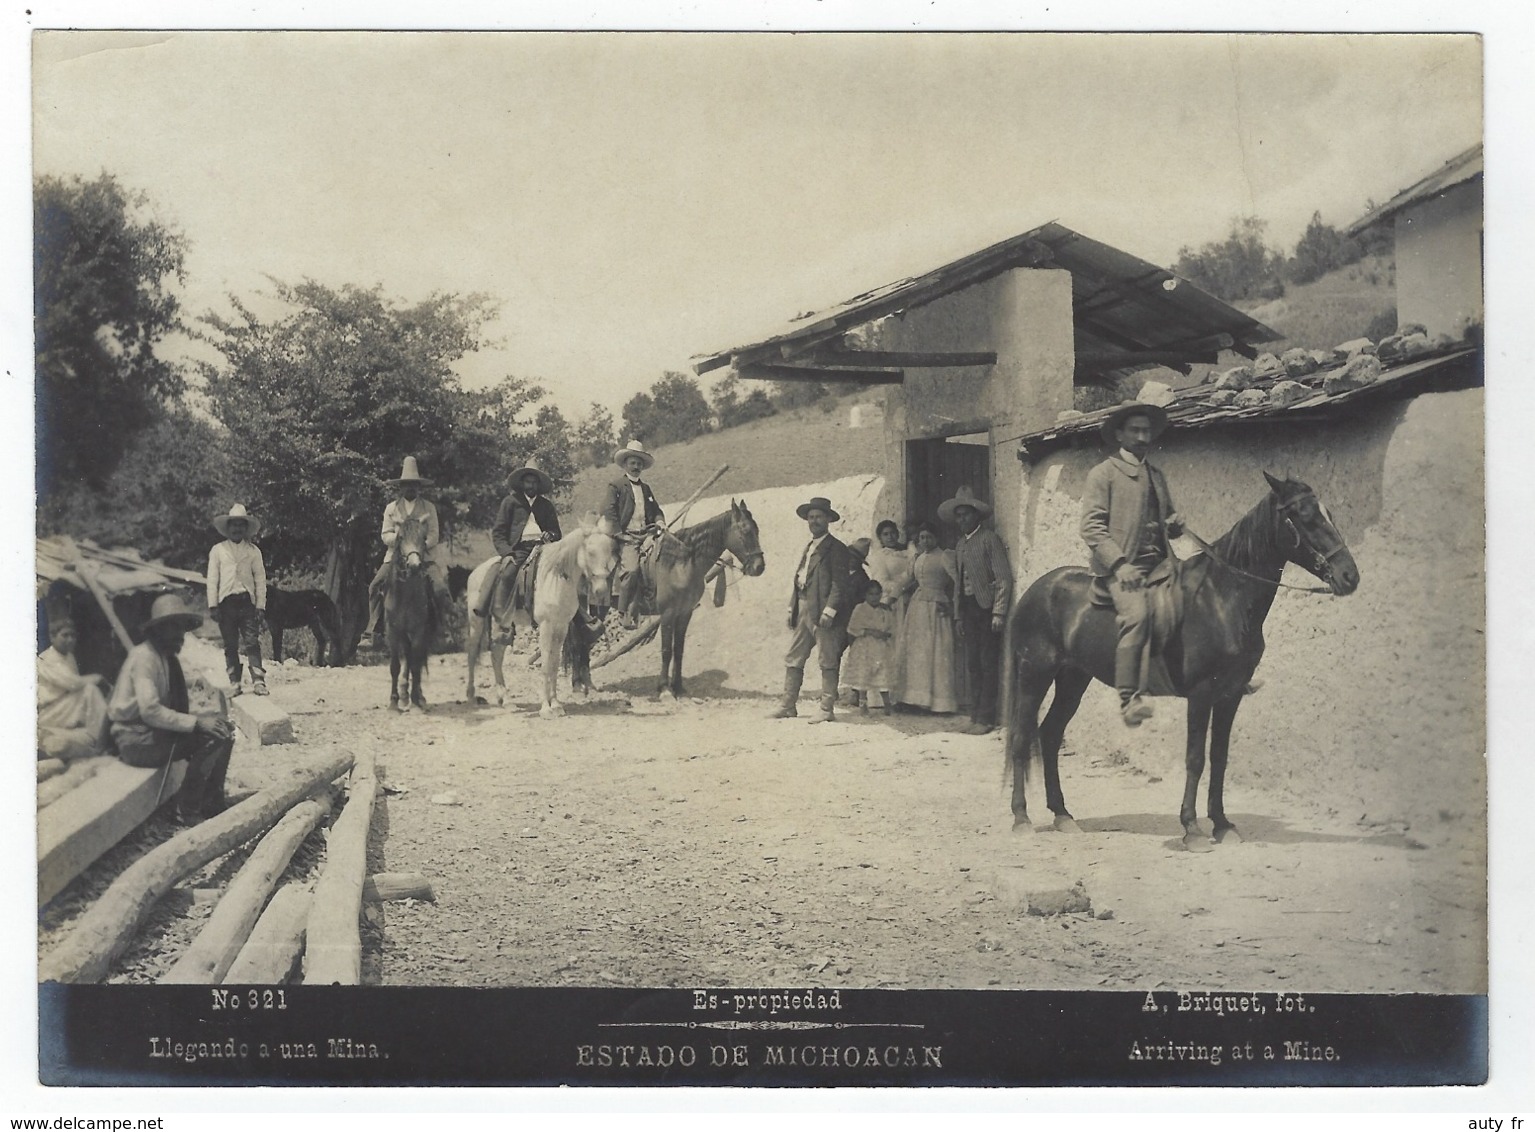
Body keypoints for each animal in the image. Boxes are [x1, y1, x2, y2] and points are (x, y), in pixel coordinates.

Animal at [386, 516, 435, 709]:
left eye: (423, 538)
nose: (414, 566)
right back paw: (404, 694)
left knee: (417, 661)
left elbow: (415, 664)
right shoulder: (393, 631)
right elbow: (395, 666)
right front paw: (394, 701)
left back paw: (416, 695)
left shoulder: (419, 631)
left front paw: (416, 700)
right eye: (400, 538)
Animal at [460, 513, 617, 715]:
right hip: (476, 621)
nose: (601, 590)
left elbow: (554, 664)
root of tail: (476, 572)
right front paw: (546, 708)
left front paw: (556, 704)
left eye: (609, 550)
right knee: (472, 654)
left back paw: (506, 700)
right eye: (590, 552)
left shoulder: (561, 626)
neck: (556, 576)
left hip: (504, 623)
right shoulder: (546, 625)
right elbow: (545, 665)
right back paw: (471, 696)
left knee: (496, 654)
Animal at [647, 500, 767, 697]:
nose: (759, 567)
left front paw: (678, 688)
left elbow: (678, 649)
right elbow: (666, 650)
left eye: (756, 530)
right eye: (745, 531)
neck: (680, 563)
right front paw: (664, 689)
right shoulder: (667, 614)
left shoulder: (685, 612)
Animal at [1013, 473, 1363, 853]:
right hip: (1034, 676)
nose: (1349, 576)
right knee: (1021, 736)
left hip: (1074, 679)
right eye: (1305, 517)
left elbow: (1219, 758)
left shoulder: (1229, 696)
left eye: (1329, 514)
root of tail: (1038, 588)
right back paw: (1021, 818)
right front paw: (1192, 829)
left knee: (1050, 733)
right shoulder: (1200, 694)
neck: (1222, 599)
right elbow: (1195, 759)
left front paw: (1222, 824)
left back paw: (1063, 815)